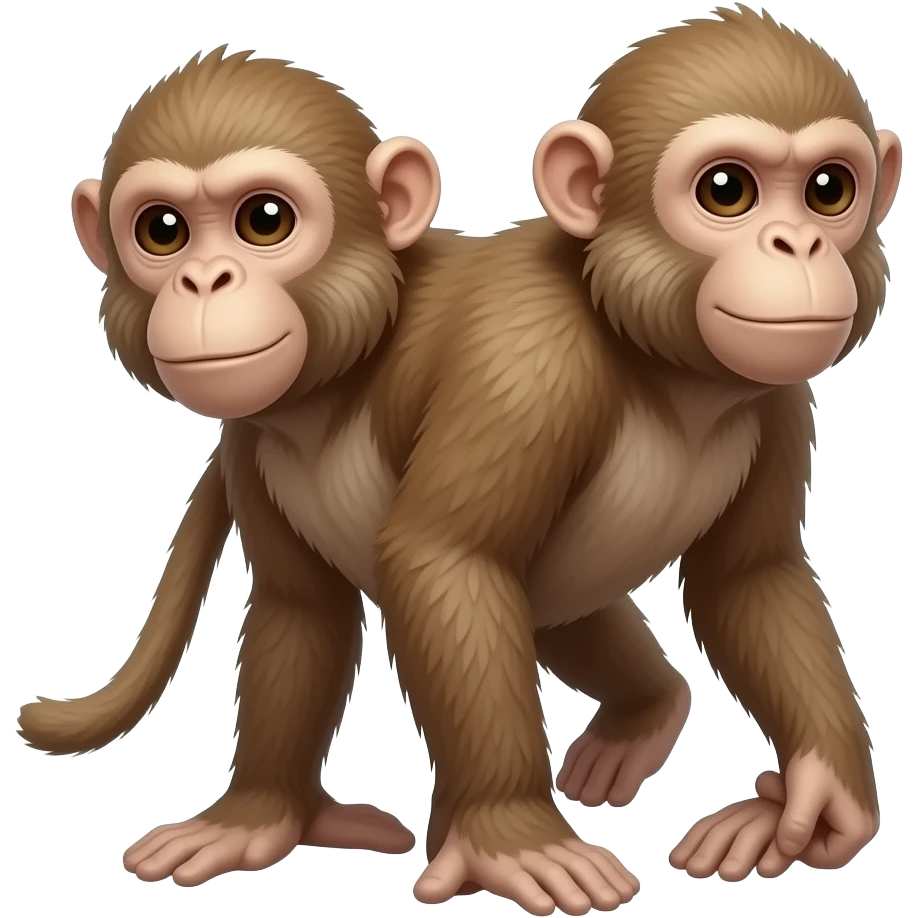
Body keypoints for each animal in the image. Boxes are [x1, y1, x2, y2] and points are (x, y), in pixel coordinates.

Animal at [21, 8, 900, 916]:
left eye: (829, 190)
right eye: (162, 231)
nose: (205, 280)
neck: (654, 358)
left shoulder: (768, 397)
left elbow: (750, 578)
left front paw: (823, 795)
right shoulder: (514, 370)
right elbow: (398, 577)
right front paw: (499, 833)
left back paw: (637, 715)